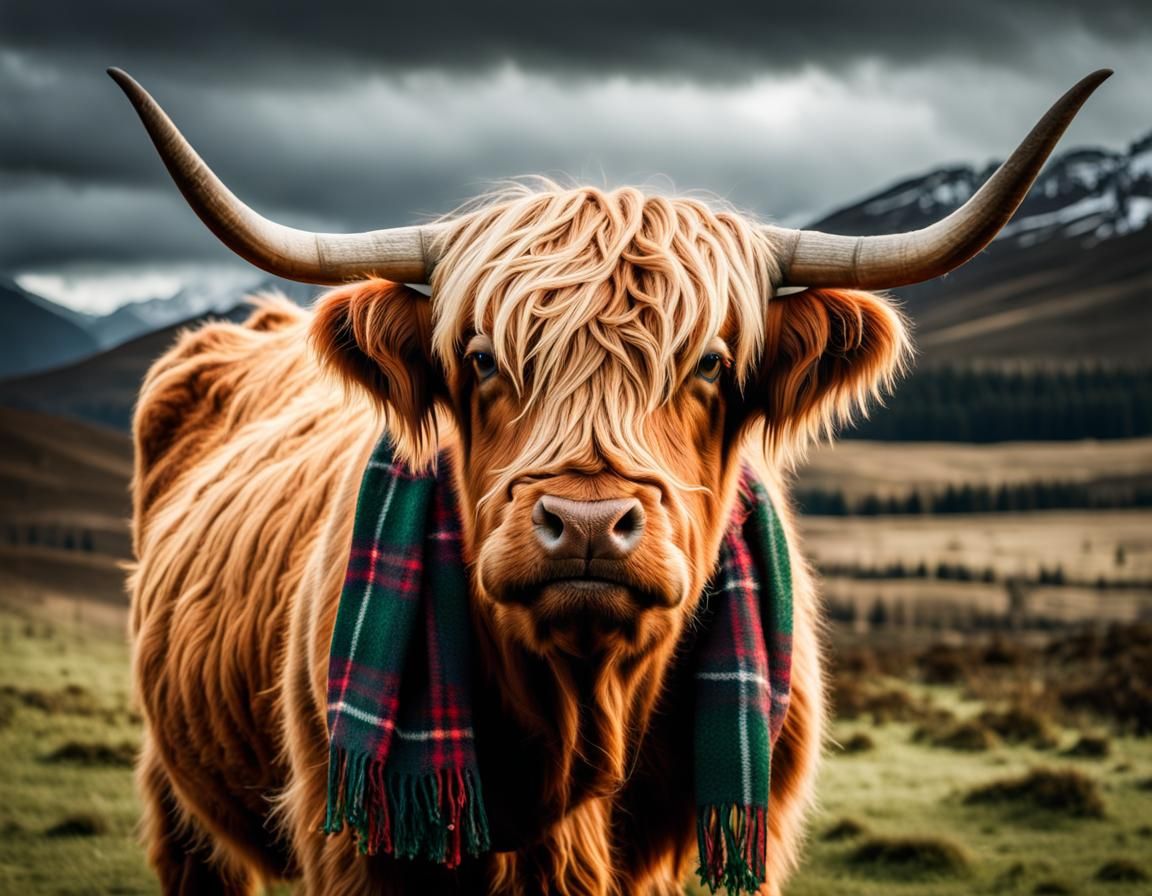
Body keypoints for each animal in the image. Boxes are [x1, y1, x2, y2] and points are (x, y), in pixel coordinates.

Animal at [112, 68, 1109, 895]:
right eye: (481, 358)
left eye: (710, 363)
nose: (587, 524)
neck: (583, 712)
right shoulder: (357, 842)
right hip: (176, 792)